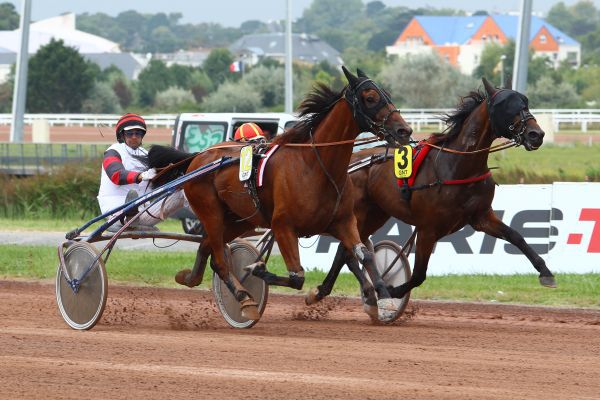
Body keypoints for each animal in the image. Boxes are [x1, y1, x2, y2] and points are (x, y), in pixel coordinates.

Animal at [149, 66, 412, 322]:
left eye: (388, 94)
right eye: (370, 98)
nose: (405, 130)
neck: (315, 166)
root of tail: (197, 156)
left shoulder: (344, 221)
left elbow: (365, 255)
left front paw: (384, 298)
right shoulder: (283, 226)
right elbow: (297, 277)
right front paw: (256, 269)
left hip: (238, 220)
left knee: (207, 249)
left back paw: (188, 277)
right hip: (210, 212)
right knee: (221, 262)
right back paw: (245, 299)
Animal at [308, 76, 556, 310]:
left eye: (525, 103)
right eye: (506, 106)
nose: (536, 134)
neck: (458, 166)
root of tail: (350, 162)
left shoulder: (481, 217)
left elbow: (516, 236)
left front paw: (546, 272)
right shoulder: (427, 229)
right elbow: (419, 275)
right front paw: (391, 290)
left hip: (375, 215)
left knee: (346, 251)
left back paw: (325, 290)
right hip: (357, 214)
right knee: (348, 251)